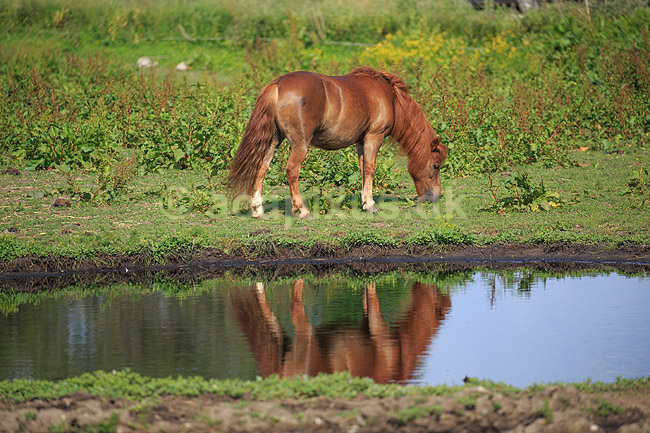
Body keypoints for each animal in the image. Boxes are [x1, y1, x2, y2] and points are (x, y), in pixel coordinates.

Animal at [227, 67, 448, 218]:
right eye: (436, 166)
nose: (435, 197)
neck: (391, 98)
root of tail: (278, 85)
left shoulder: (361, 141)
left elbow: (362, 169)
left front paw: (364, 201)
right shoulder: (373, 137)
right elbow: (370, 168)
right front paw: (370, 204)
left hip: (273, 141)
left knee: (261, 169)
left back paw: (258, 210)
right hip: (300, 144)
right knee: (292, 171)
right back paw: (303, 210)